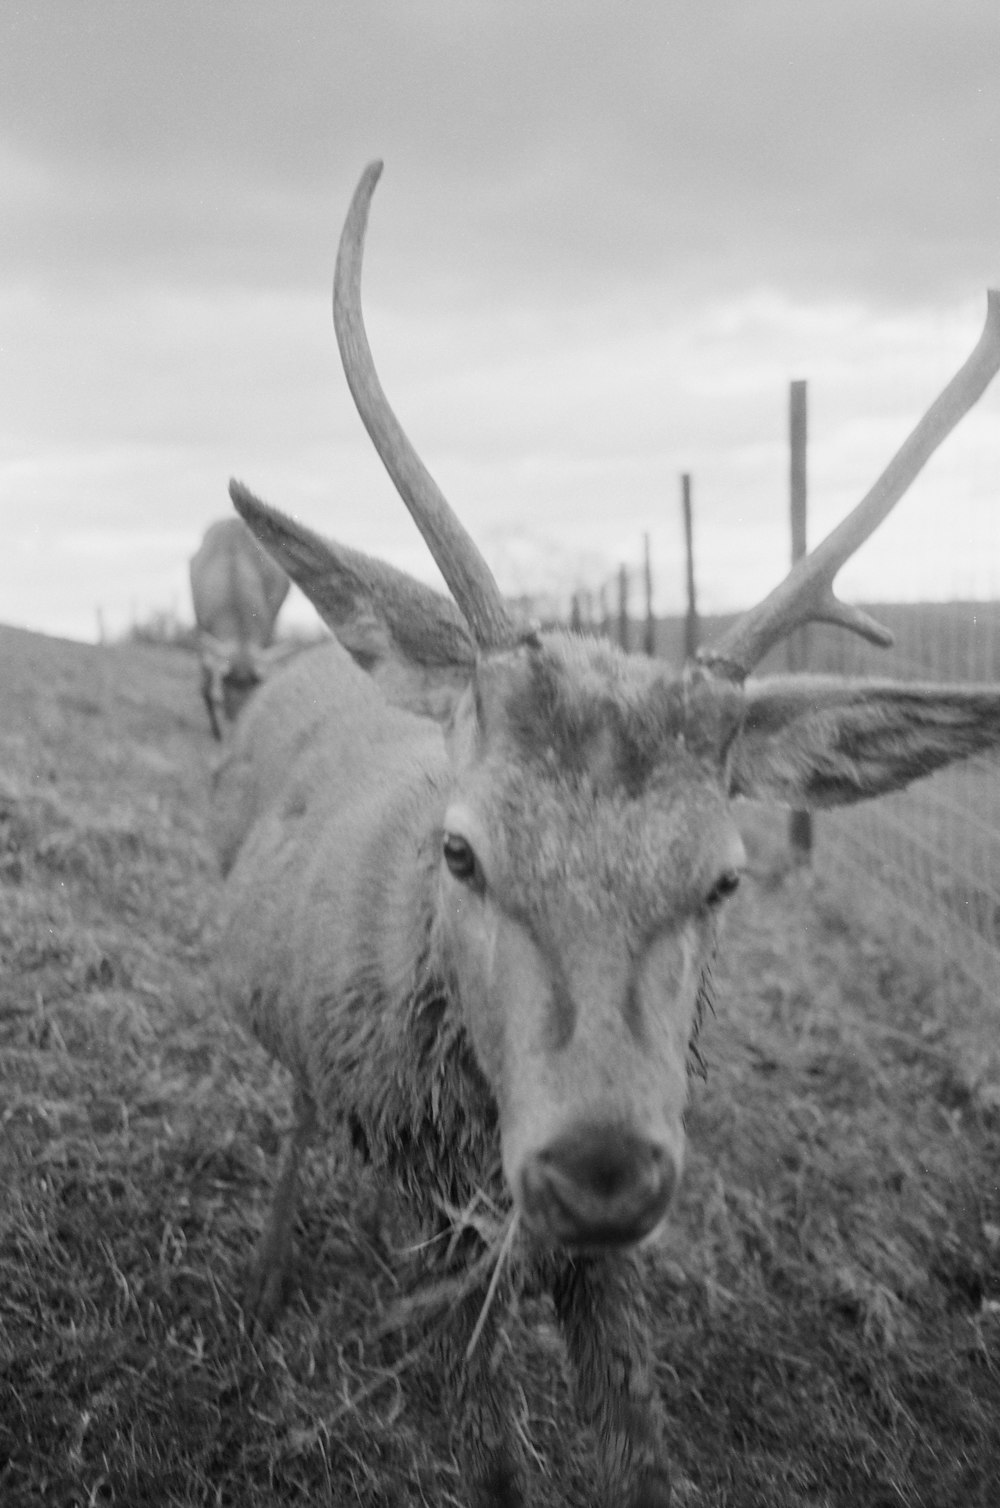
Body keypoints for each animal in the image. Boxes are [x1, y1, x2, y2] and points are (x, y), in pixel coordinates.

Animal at [188, 515, 289, 738]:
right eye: (226, 680)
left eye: (256, 683)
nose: (240, 725)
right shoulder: (201, 629)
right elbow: (205, 685)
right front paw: (216, 733)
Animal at [211, 165, 1000, 1508]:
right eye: (461, 850)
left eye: (724, 877)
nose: (600, 1166)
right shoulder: (441, 1208)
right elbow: (489, 1455)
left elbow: (637, 1450)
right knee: (301, 1111)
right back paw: (259, 1294)